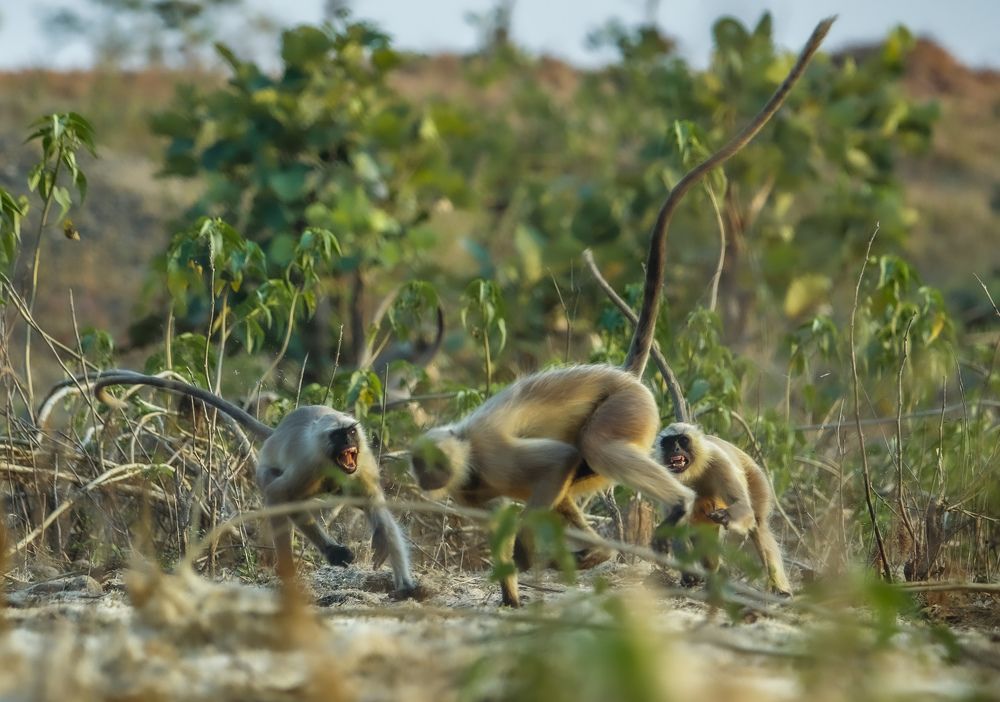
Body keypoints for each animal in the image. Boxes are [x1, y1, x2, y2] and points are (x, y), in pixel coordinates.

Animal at [91, 371, 418, 597]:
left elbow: (377, 507)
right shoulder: (309, 464)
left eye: (350, 432)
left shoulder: (362, 463)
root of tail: (275, 433)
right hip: (268, 470)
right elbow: (279, 496)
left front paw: (391, 561)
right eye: (339, 436)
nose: (349, 440)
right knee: (284, 499)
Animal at [653, 422, 792, 596]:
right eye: (669, 443)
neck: (692, 472)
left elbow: (743, 506)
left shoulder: (719, 461)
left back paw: (780, 590)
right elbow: (677, 522)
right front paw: (689, 575)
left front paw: (726, 516)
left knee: (758, 526)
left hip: (756, 478)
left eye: (683, 440)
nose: (675, 449)